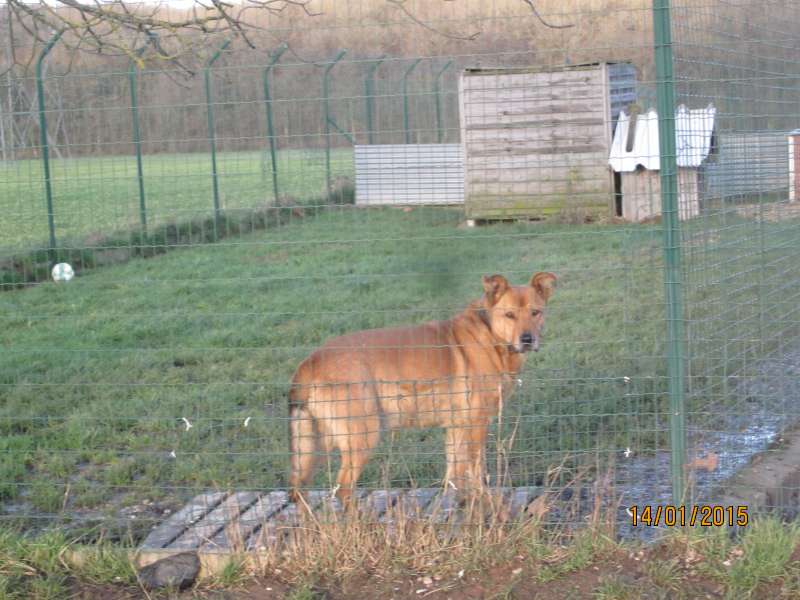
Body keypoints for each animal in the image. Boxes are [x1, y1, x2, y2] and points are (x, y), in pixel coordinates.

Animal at [288, 274, 556, 504]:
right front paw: (484, 507)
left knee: (299, 489)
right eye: (509, 314)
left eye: (535, 312)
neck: (491, 335)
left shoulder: (456, 428)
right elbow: (476, 473)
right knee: (343, 488)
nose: (527, 339)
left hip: (314, 444)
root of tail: (311, 360)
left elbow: (456, 475)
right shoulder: (476, 424)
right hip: (361, 436)